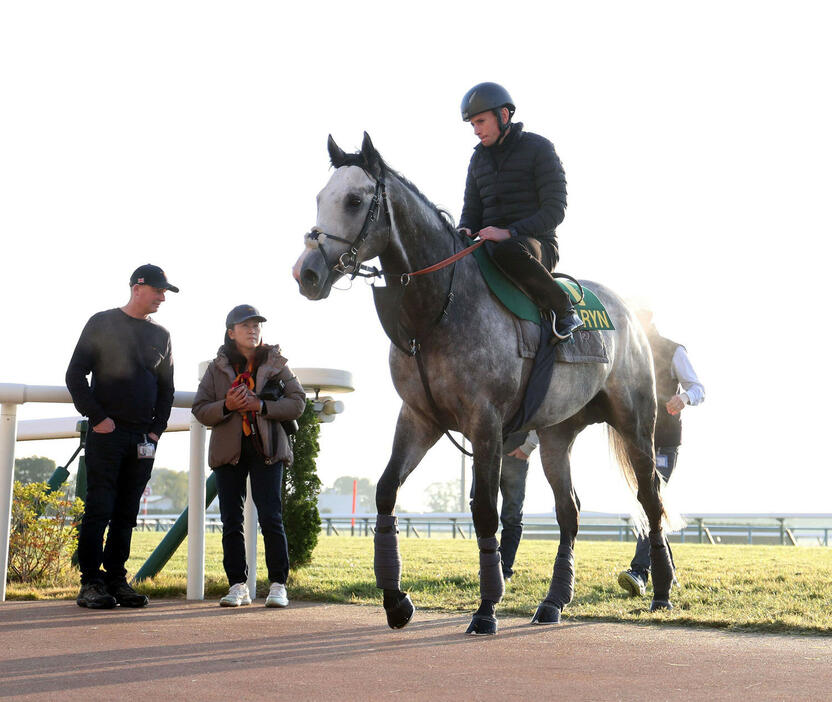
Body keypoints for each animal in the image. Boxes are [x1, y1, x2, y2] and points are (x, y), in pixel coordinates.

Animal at [294, 135, 676, 636]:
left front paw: (487, 607)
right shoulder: (419, 419)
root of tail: (628, 313)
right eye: (321, 197)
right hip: (556, 435)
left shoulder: (486, 425)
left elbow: (484, 512)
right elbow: (385, 492)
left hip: (636, 424)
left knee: (650, 499)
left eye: (355, 201)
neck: (439, 309)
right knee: (569, 512)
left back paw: (663, 590)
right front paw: (396, 600)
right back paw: (554, 601)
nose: (307, 273)